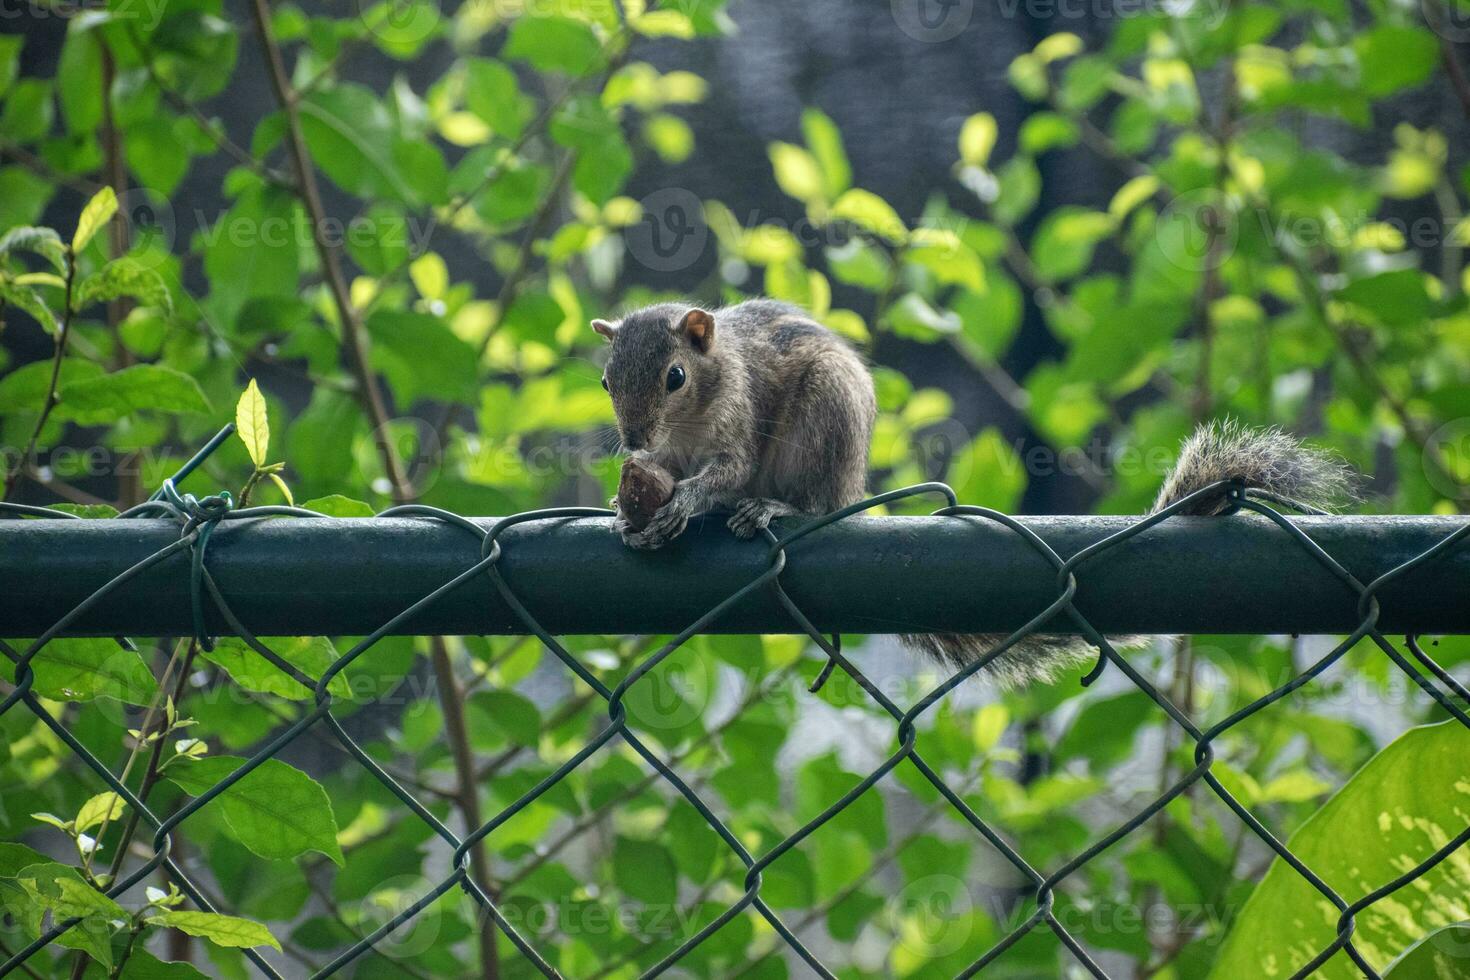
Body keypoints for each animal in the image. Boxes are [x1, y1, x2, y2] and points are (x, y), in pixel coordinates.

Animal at [590, 302, 1346, 687]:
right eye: (605, 381)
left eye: (676, 376)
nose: (630, 437)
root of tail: (853, 479)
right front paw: (628, 510)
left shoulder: (740, 421)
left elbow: (722, 475)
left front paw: (685, 504)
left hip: (825, 423)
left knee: (819, 506)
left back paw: (776, 506)